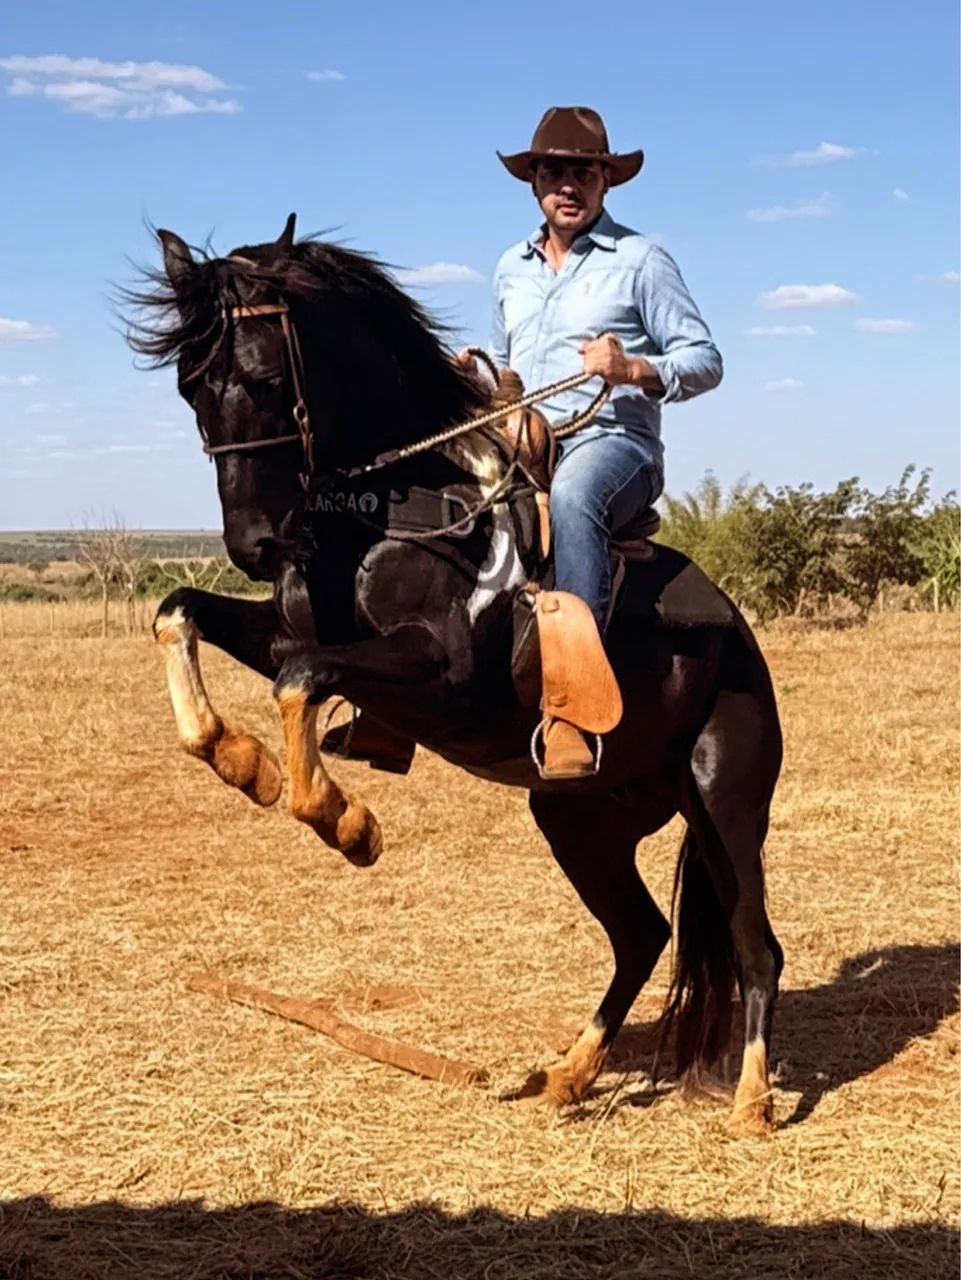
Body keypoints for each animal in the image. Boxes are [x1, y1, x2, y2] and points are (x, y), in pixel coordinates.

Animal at [125, 214, 784, 1136]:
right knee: (641, 935)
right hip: (577, 818)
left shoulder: (440, 674)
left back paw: (753, 1099)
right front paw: (240, 761)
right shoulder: (284, 628)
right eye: (190, 387)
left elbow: (300, 679)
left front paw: (346, 822)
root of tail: (737, 636)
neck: (392, 511)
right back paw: (569, 1074)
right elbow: (181, 612)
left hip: (726, 805)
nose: (255, 543)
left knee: (756, 945)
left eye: (264, 378)